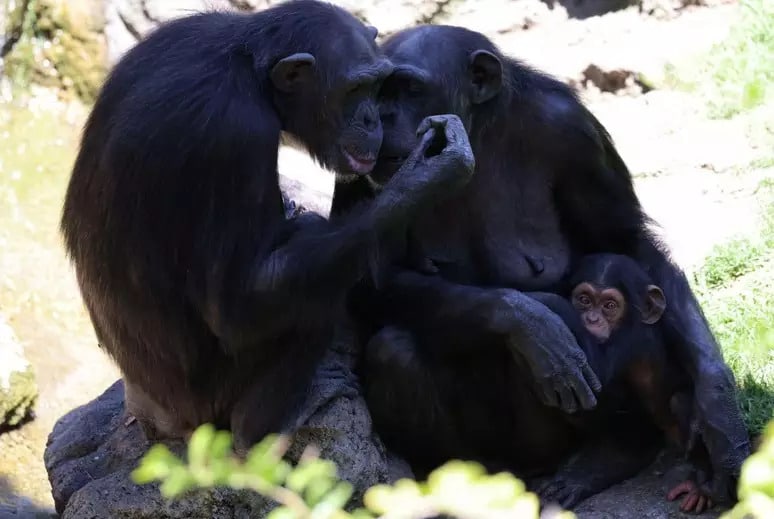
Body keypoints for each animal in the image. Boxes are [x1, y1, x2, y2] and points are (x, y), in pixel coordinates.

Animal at [60, 0, 476, 452]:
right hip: (210, 404)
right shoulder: (236, 133)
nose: (372, 119)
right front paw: (424, 177)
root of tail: (159, 421)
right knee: (310, 297)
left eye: (379, 86)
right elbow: (239, 303)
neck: (250, 70)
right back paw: (263, 433)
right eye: (354, 90)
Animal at [532, 254, 716, 512]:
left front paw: (536, 301)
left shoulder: (630, 340)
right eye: (584, 300)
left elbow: (593, 369)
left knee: (680, 402)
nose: (591, 319)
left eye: (609, 306)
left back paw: (700, 484)